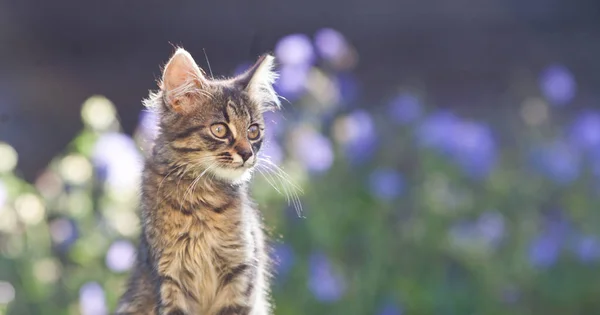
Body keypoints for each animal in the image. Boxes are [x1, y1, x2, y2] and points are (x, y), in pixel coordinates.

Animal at [116, 47, 282, 315]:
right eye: (220, 130)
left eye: (253, 131)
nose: (248, 154)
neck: (200, 199)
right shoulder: (169, 276)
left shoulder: (240, 273)